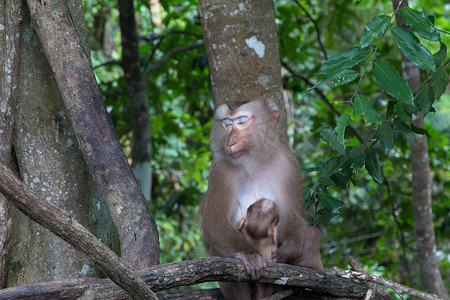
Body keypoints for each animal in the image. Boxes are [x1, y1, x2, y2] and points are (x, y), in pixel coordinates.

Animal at [201, 98, 324, 298]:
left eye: (241, 121)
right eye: (227, 123)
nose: (230, 141)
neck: (253, 161)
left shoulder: (288, 164)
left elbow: (292, 216)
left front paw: (287, 250)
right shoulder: (220, 169)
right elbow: (214, 221)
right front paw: (249, 254)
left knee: (313, 233)